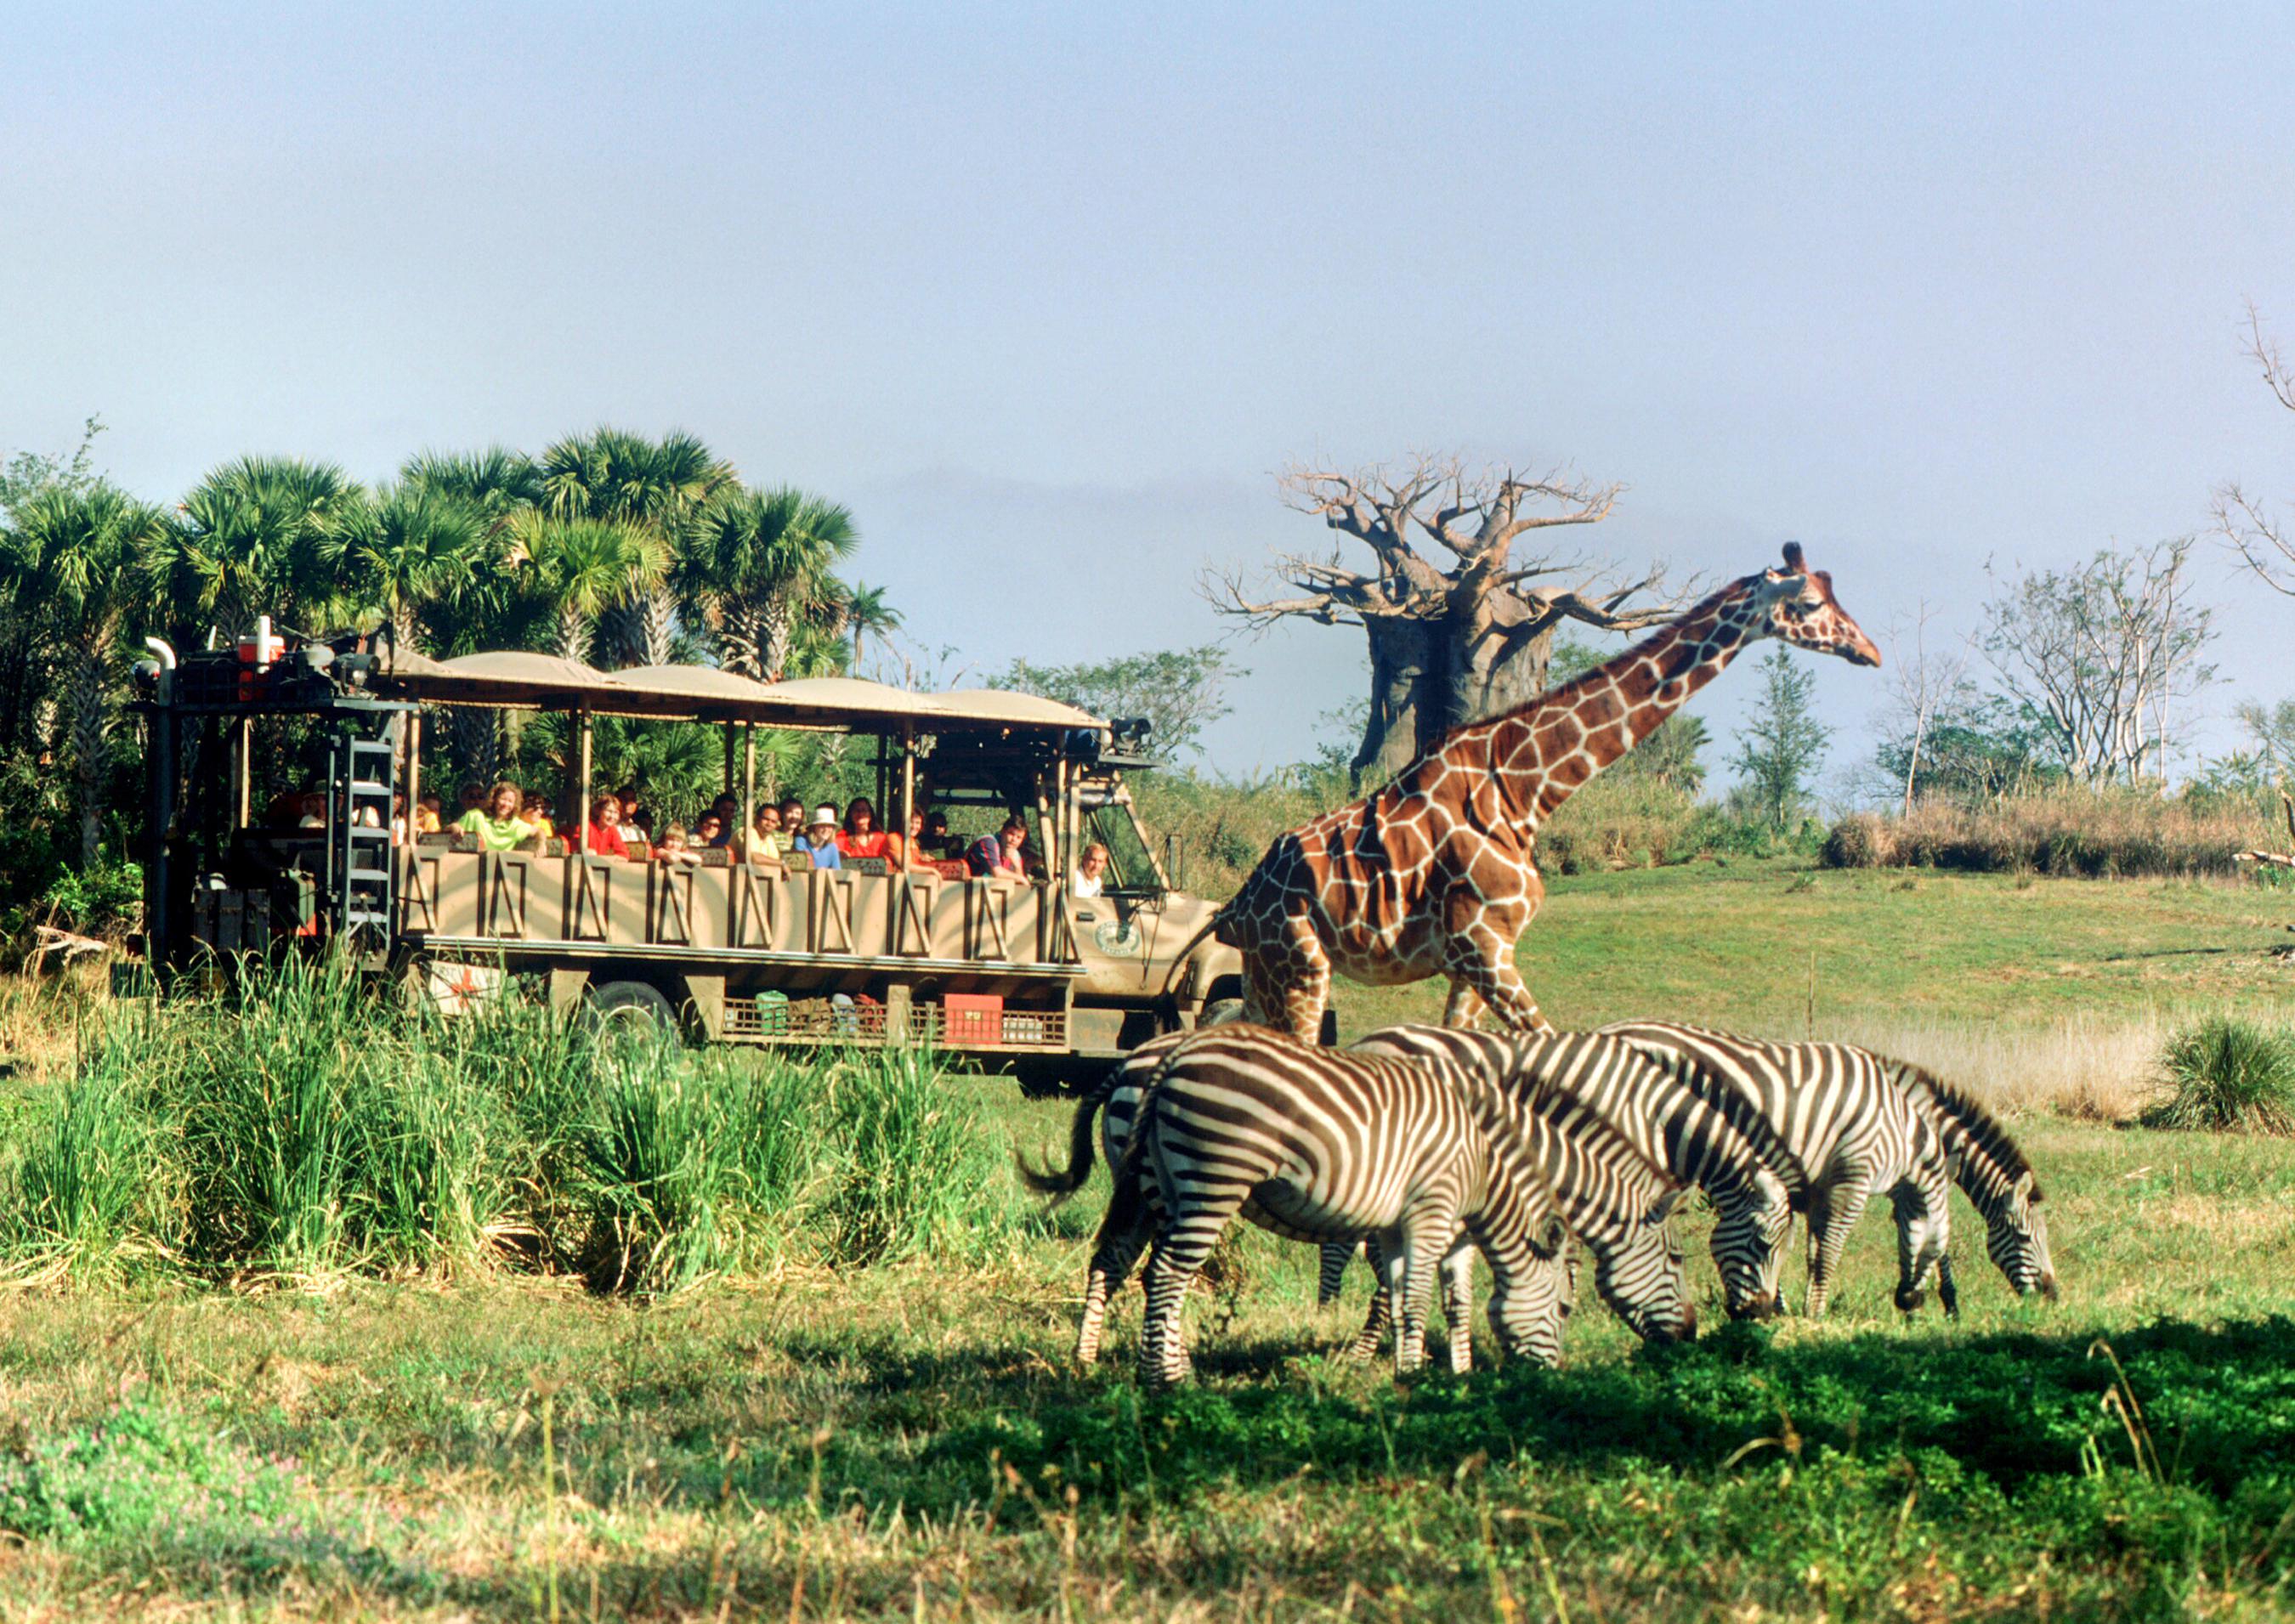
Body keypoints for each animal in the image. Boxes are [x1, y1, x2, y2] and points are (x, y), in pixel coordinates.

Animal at [1193, 546, 1873, 1041]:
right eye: (1810, 601)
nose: (1869, 650)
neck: (1526, 790)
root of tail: (1236, 906)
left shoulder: (1476, 958)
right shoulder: (1484, 947)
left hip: (1262, 977)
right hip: (1301, 965)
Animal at [1597, 1027, 1955, 1321]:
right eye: (1941, 1248)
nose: (1909, 1303)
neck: (1901, 1133)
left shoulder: (1819, 1192)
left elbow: (1813, 1254)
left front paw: (1804, 1310)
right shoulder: (1853, 1178)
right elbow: (1829, 1253)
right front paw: (1817, 1316)